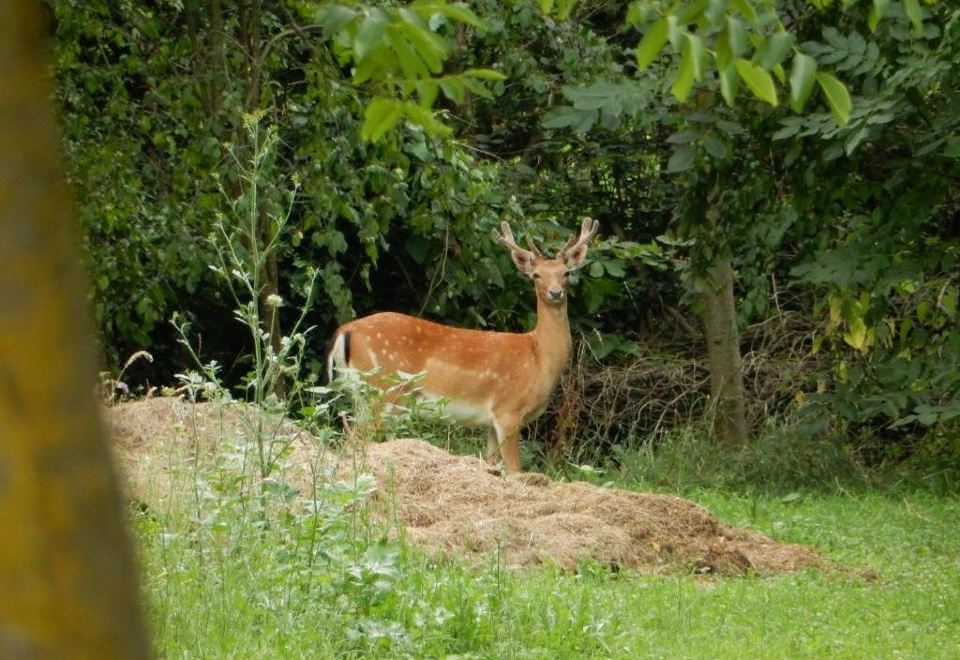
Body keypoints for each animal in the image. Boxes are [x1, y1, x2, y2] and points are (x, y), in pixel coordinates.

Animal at [330, 219, 600, 472]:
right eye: (536, 275)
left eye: (566, 273)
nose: (555, 293)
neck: (540, 357)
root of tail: (345, 331)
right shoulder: (508, 410)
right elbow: (515, 471)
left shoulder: (491, 422)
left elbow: (493, 465)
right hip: (385, 389)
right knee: (357, 439)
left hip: (364, 394)